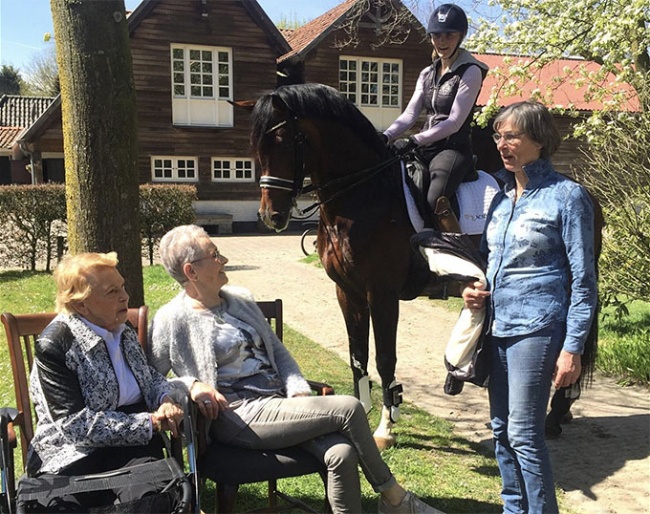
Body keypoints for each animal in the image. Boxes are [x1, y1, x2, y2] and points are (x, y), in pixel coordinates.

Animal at [251, 82, 432, 446]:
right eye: (256, 147)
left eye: (283, 142)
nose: (270, 216)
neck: (365, 196)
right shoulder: (348, 291)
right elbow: (357, 357)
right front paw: (361, 412)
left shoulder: (382, 294)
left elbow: (385, 358)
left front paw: (385, 429)